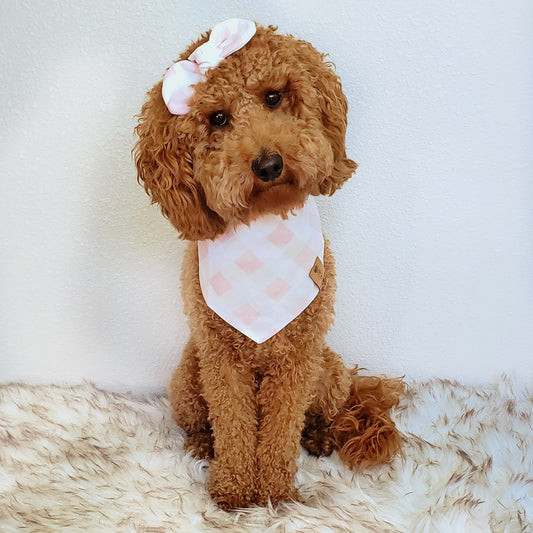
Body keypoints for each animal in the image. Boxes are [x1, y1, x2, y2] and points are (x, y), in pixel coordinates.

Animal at [134, 19, 404, 512]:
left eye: (274, 96)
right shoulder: (220, 359)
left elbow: (280, 429)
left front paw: (277, 493)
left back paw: (319, 438)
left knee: (325, 412)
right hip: (186, 379)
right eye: (217, 119)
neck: (262, 225)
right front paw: (234, 490)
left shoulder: (298, 357)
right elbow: (234, 424)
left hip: (328, 371)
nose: (268, 164)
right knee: (200, 420)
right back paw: (203, 445)